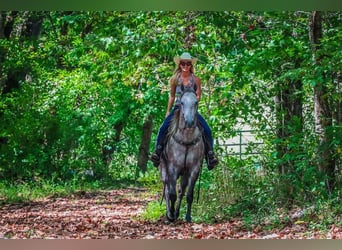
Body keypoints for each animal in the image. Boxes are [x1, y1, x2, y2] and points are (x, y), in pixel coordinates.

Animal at [160, 88, 204, 223]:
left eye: (196, 102)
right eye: (182, 103)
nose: (189, 121)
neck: (186, 140)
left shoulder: (194, 169)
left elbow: (189, 195)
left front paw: (188, 217)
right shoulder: (172, 169)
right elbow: (172, 194)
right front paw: (171, 216)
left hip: (184, 173)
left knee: (181, 190)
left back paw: (177, 212)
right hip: (164, 170)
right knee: (167, 190)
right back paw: (169, 213)